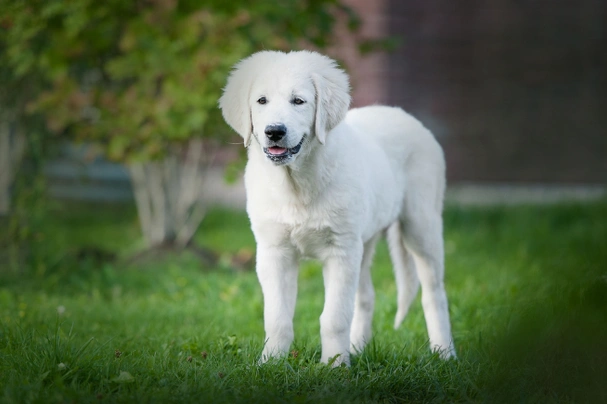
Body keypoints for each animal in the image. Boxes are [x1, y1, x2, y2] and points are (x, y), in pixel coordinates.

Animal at [220, 50, 456, 366]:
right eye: (261, 101)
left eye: (298, 101)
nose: (274, 131)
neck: (297, 184)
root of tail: (402, 113)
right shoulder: (274, 251)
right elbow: (277, 317)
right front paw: (271, 363)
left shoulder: (341, 249)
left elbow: (333, 317)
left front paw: (334, 366)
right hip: (364, 240)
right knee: (366, 296)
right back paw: (357, 348)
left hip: (420, 225)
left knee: (434, 293)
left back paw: (444, 353)